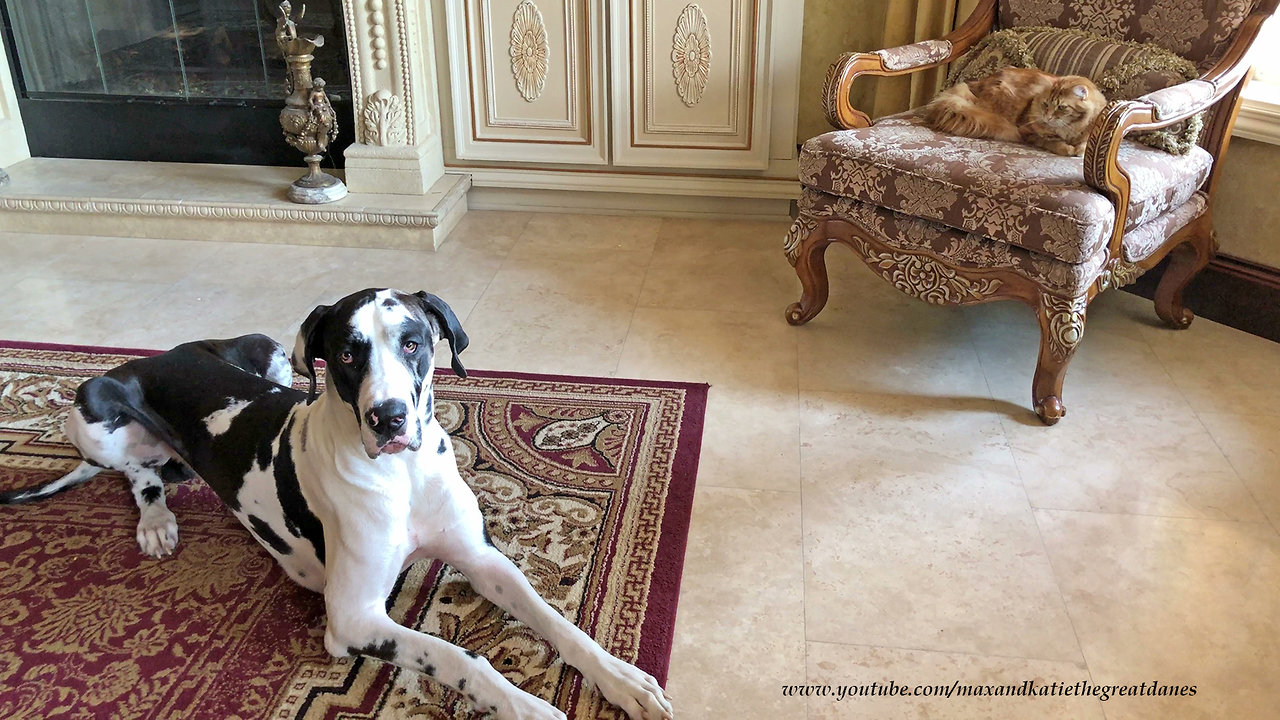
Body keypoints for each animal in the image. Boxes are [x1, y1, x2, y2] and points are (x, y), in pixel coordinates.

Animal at [921, 67, 1111, 155]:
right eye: (1045, 104)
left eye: (1061, 107)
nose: (1047, 116)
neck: (1070, 129)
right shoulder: (1028, 132)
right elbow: (1053, 143)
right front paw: (1067, 149)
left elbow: (1084, 145)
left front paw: (1078, 149)